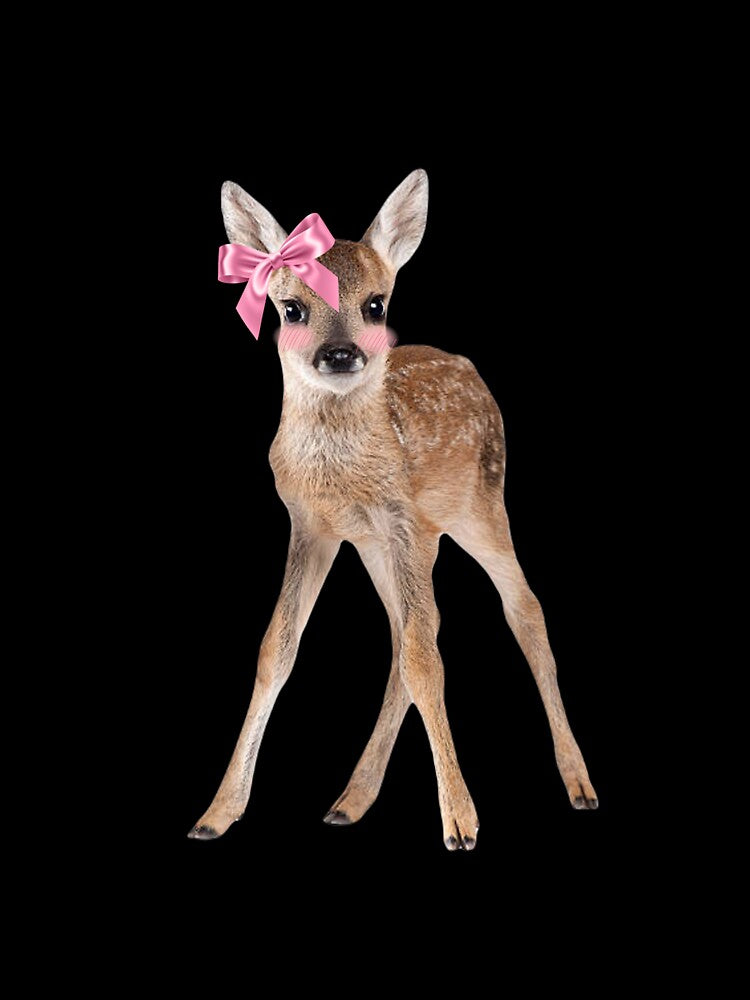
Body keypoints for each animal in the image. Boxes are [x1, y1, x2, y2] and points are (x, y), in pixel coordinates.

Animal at [188, 169, 597, 851]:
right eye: (291, 308)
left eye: (376, 305)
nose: (341, 355)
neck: (342, 474)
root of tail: (468, 365)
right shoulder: (313, 525)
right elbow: (277, 649)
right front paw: (217, 812)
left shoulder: (398, 516)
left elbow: (425, 658)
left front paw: (461, 822)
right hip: (399, 544)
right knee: (411, 632)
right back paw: (350, 800)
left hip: (479, 507)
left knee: (521, 611)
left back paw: (579, 784)